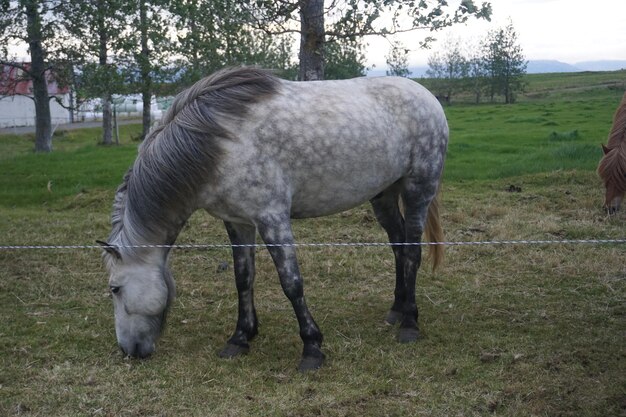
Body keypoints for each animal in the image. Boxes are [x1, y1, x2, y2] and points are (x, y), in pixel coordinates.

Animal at [100, 68, 446, 370]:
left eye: (114, 289)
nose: (128, 350)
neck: (220, 144)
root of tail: (427, 96)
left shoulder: (272, 219)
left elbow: (291, 282)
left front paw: (312, 348)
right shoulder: (238, 222)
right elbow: (243, 278)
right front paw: (240, 338)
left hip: (418, 189)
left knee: (412, 252)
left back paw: (410, 323)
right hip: (384, 194)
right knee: (399, 246)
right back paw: (396, 310)